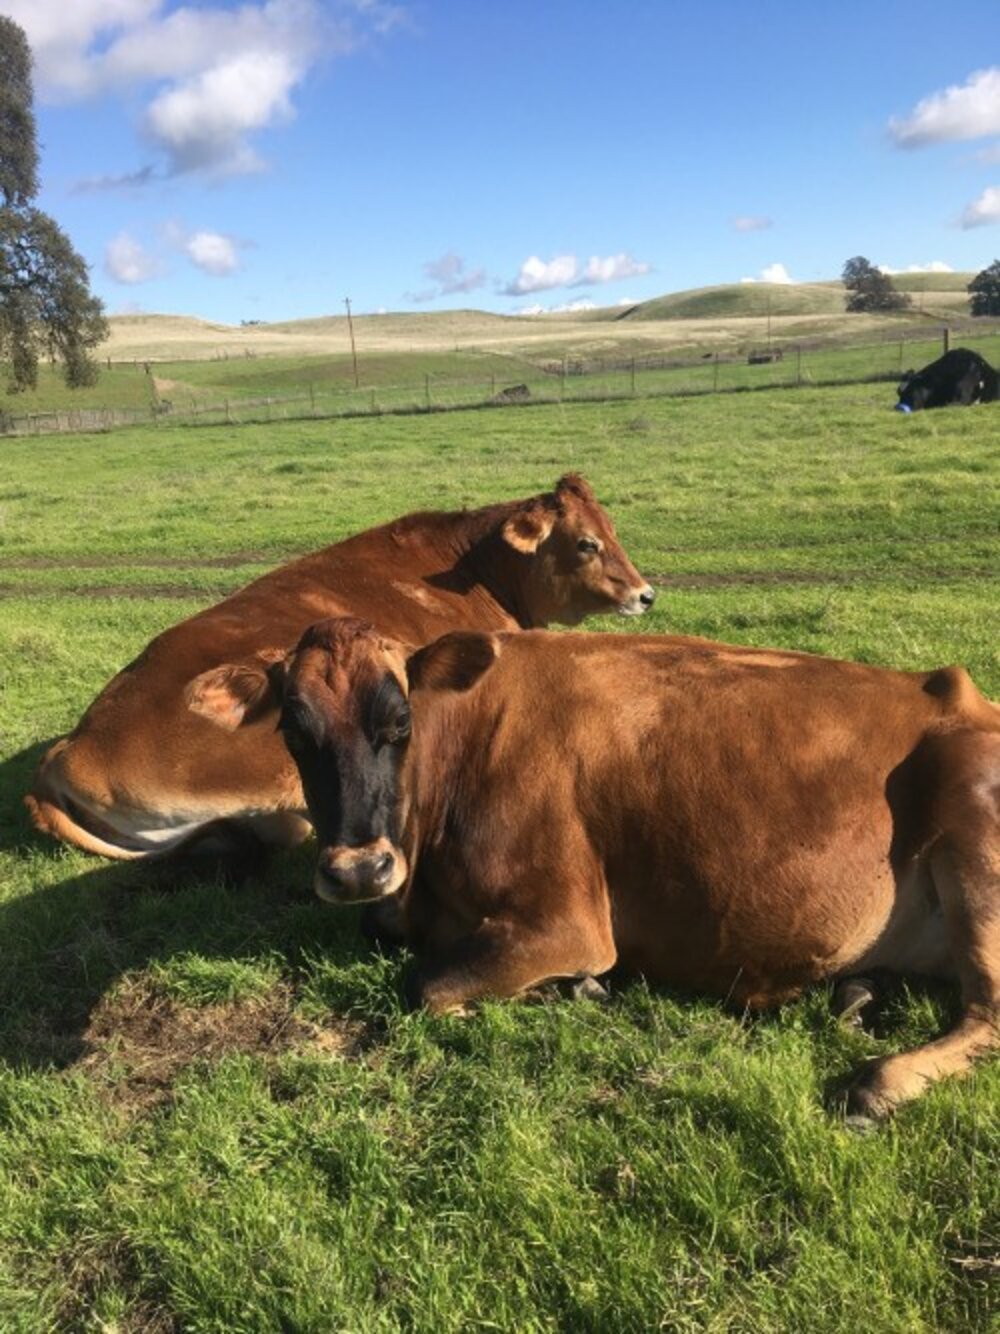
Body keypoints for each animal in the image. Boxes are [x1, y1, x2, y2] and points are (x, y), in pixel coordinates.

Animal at [191, 618, 1000, 1121]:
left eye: (400, 724)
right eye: (294, 733)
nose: (359, 870)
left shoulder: (569, 922)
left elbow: (424, 984)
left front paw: (568, 989)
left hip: (974, 836)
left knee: (987, 1014)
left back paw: (881, 1083)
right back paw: (859, 992)